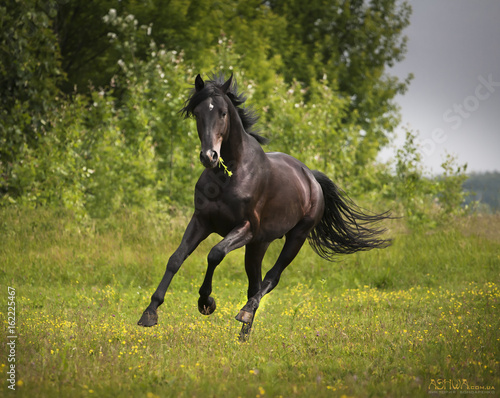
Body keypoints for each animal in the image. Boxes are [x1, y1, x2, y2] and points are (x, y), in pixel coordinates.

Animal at [139, 72, 392, 338]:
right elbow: (176, 258)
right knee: (255, 284)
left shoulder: (246, 227)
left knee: (271, 278)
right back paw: (243, 334)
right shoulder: (201, 220)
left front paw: (206, 302)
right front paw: (150, 312)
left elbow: (215, 254)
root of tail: (312, 178)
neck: (229, 175)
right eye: (197, 113)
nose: (209, 157)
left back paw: (245, 312)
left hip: (295, 237)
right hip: (258, 245)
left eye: (223, 113)